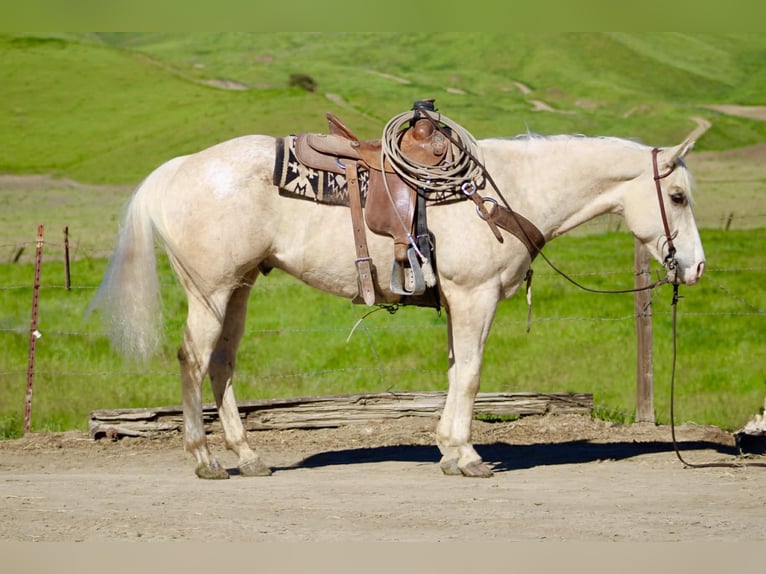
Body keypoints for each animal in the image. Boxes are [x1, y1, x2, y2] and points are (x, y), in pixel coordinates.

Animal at [93, 120, 706, 479]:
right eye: (676, 196)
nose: (696, 267)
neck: (505, 191)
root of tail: (179, 169)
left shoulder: (459, 302)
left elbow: (457, 371)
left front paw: (448, 449)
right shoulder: (476, 297)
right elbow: (473, 375)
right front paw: (467, 456)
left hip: (239, 288)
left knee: (221, 365)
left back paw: (248, 458)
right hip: (211, 290)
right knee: (193, 360)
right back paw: (204, 459)